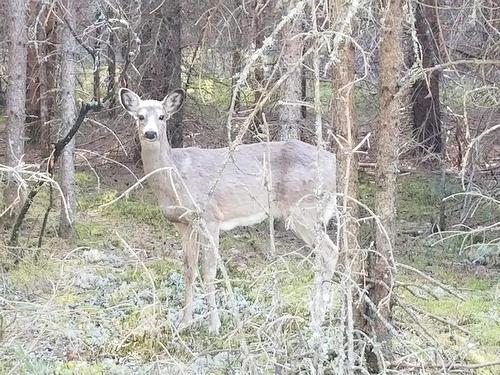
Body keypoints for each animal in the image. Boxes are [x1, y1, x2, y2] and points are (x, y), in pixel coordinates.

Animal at [118, 88, 338, 334]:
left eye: (162, 116)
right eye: (140, 116)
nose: (150, 134)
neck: (176, 177)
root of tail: (334, 162)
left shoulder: (209, 217)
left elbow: (209, 271)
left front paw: (214, 326)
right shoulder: (183, 224)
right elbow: (189, 270)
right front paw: (184, 323)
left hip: (304, 209)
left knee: (331, 252)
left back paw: (318, 319)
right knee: (322, 257)